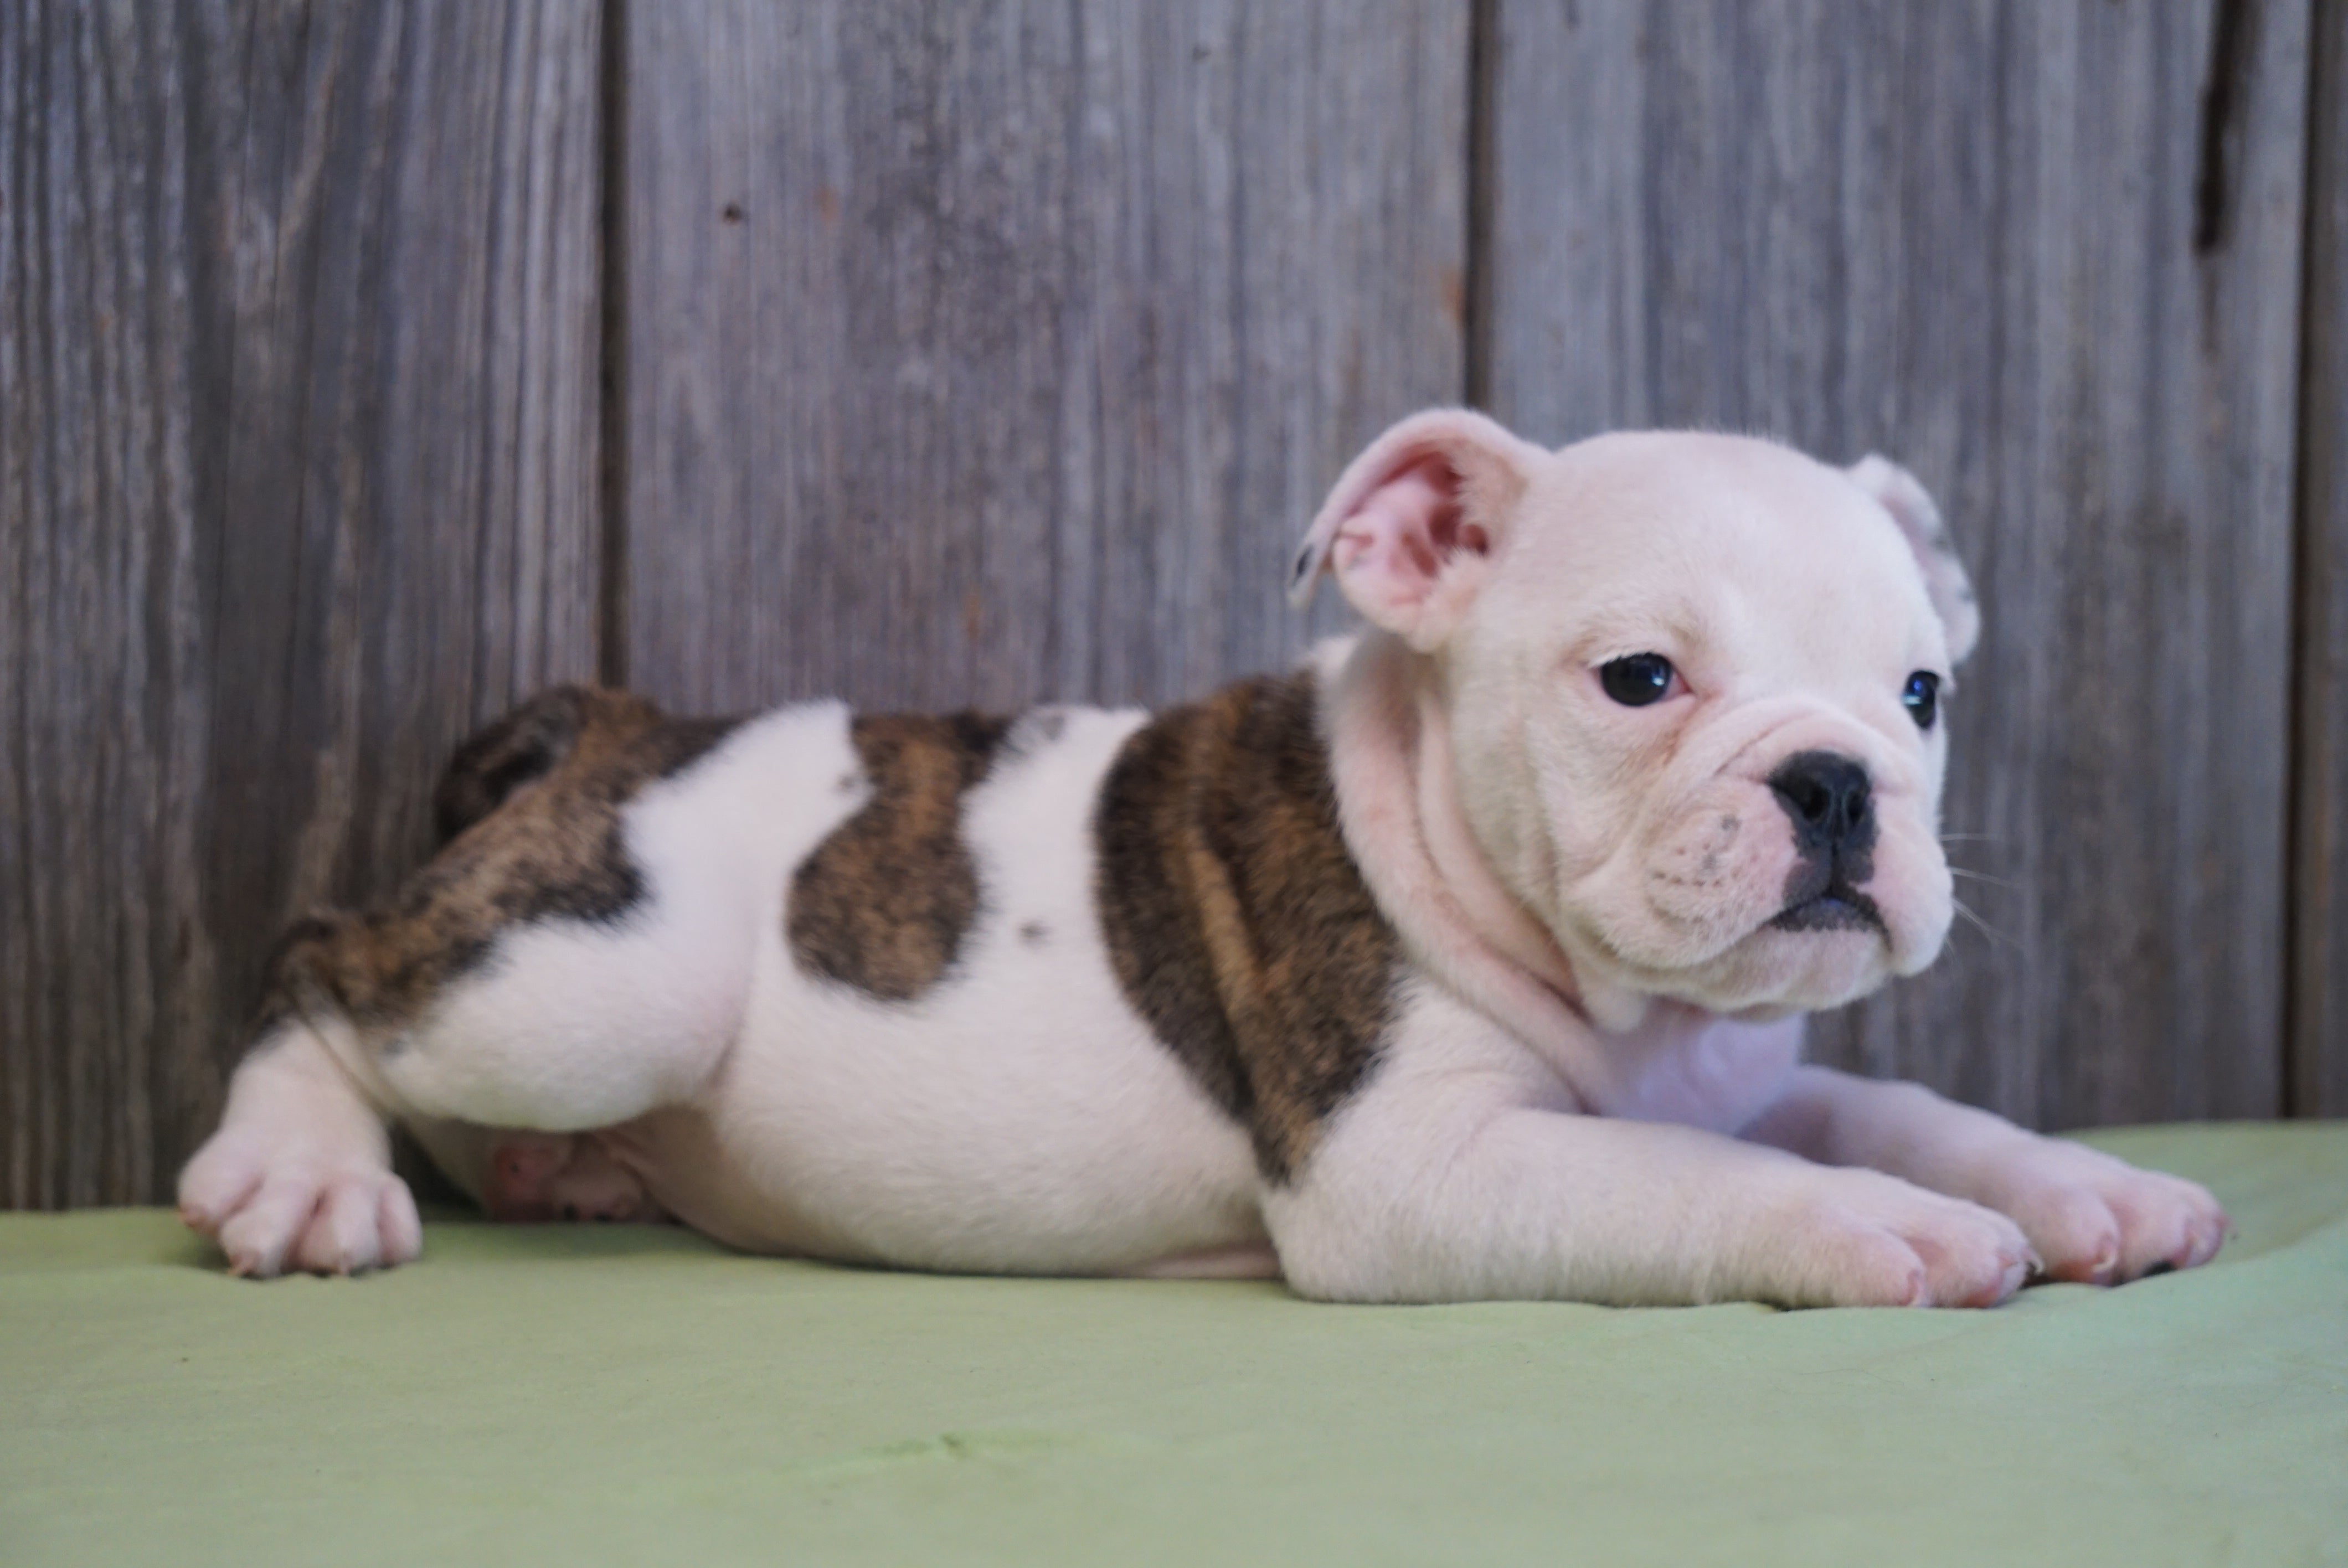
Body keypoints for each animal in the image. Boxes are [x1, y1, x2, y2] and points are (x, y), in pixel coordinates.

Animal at [178, 410, 2216, 1305]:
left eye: (1923, 694)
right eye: (1640, 679)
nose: (1838, 782)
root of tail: (608, 721)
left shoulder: (1739, 1071)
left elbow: (1890, 1105)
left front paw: (2073, 1186)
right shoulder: (1414, 1171)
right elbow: (1692, 1177)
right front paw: (1884, 1228)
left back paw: (563, 1180)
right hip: (598, 983)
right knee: (327, 971)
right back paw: (300, 1175)